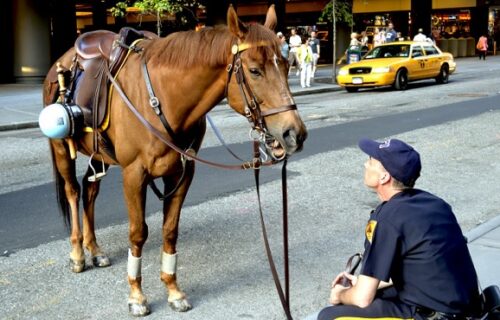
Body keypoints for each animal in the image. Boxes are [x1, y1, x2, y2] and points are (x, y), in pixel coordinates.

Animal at [43, 3, 306, 316]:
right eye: (254, 71)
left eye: (287, 65)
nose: (294, 133)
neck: (163, 98)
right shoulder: (134, 174)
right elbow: (138, 233)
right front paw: (136, 295)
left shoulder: (182, 172)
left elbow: (170, 231)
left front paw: (172, 288)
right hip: (61, 149)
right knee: (73, 191)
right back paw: (77, 253)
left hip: (100, 154)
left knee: (90, 189)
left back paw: (94, 249)